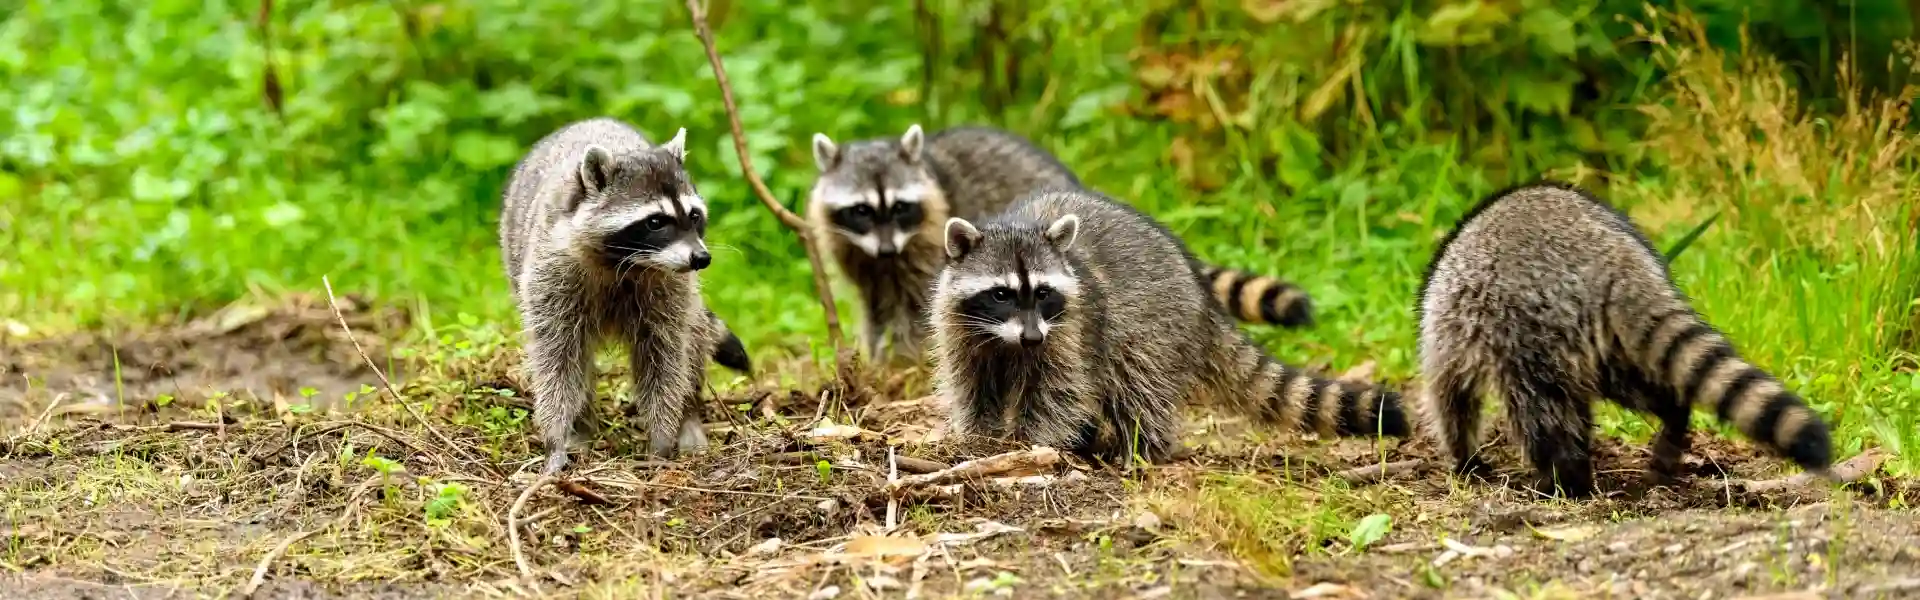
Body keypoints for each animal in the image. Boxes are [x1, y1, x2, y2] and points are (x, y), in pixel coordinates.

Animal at [499, 117, 748, 476]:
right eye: (656, 222)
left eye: (694, 216)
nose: (701, 259)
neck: (627, 261)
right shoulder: (551, 273)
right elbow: (556, 358)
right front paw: (556, 435)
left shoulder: (669, 290)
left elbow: (665, 358)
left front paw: (662, 436)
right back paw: (582, 425)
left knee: (694, 340)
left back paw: (689, 415)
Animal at [807, 124, 1312, 363]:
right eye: (861, 210)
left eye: (899, 206)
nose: (887, 250)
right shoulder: (855, 250)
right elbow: (873, 305)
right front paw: (876, 357)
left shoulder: (926, 244)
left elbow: (914, 306)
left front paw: (903, 361)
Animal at [927, 188, 1409, 463]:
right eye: (1001, 294)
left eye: (1044, 292)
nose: (1031, 337)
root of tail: (1201, 292)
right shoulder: (960, 329)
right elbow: (972, 385)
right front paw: (979, 437)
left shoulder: (1071, 327)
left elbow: (1059, 392)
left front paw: (1030, 443)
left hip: (1155, 324)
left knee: (1138, 382)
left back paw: (1142, 448)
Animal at [1416, 182, 1834, 497]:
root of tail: (1613, 259)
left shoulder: (1450, 326)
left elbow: (1451, 397)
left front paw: (1463, 457)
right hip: (1608, 342)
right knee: (1638, 384)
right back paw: (1671, 417)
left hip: (1527, 326)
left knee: (1539, 409)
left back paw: (1564, 479)